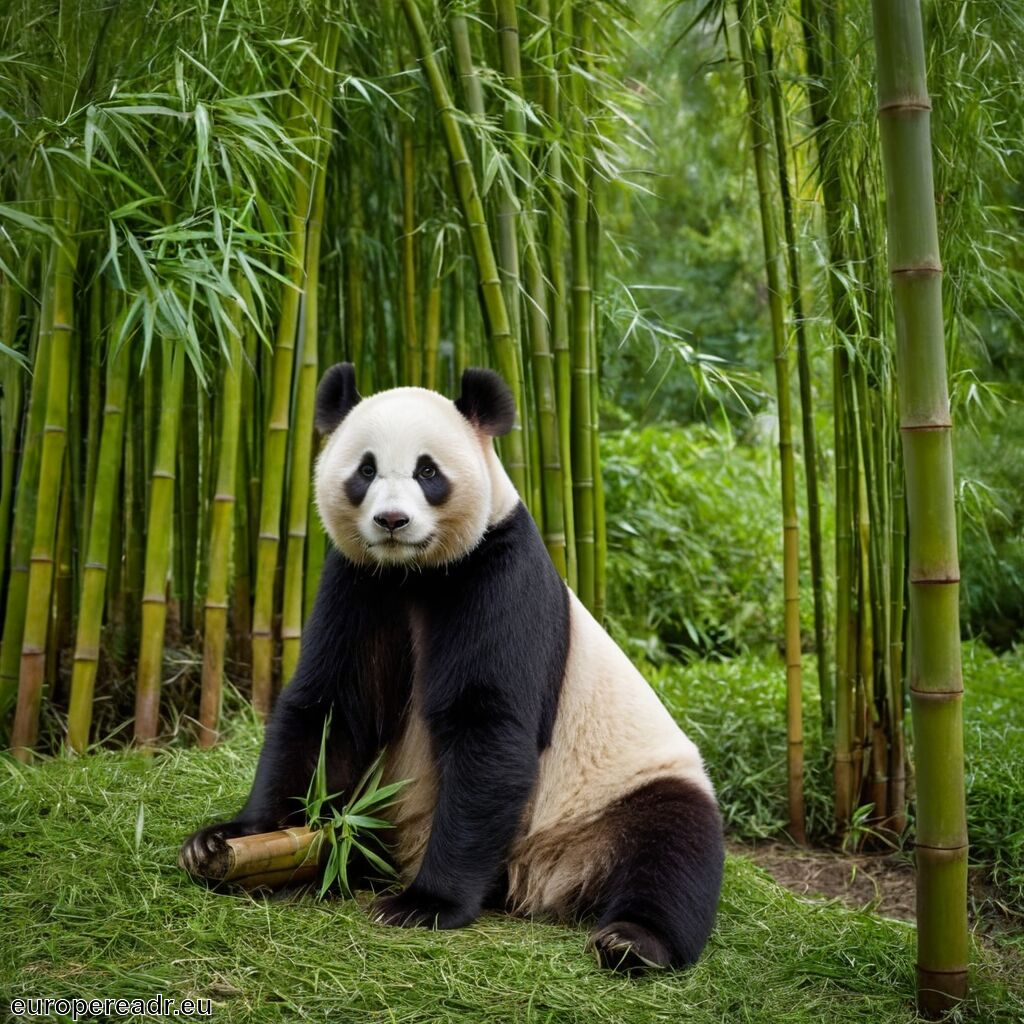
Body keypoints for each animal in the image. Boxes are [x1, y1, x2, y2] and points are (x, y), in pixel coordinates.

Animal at [181, 363, 724, 972]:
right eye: (365, 469)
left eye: (427, 471)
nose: (392, 520)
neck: (414, 572)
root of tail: (537, 876)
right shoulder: (359, 581)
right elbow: (329, 709)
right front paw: (228, 837)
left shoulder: (497, 570)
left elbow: (486, 727)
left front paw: (425, 904)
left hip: (618, 792)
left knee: (673, 845)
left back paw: (631, 939)